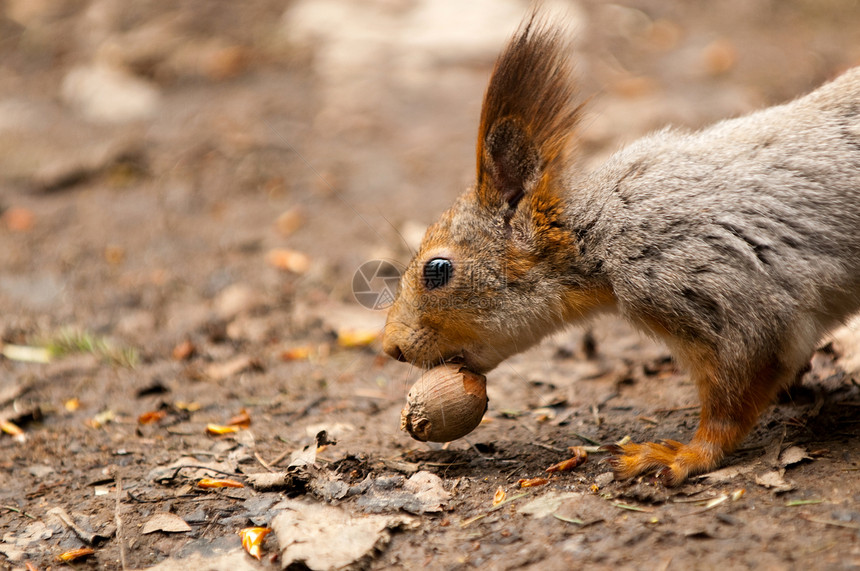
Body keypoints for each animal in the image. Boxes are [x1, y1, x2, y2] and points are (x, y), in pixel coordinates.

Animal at [382, 13, 860, 484]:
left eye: (437, 270)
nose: (391, 349)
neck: (598, 235)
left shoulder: (724, 293)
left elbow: (735, 395)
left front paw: (680, 455)